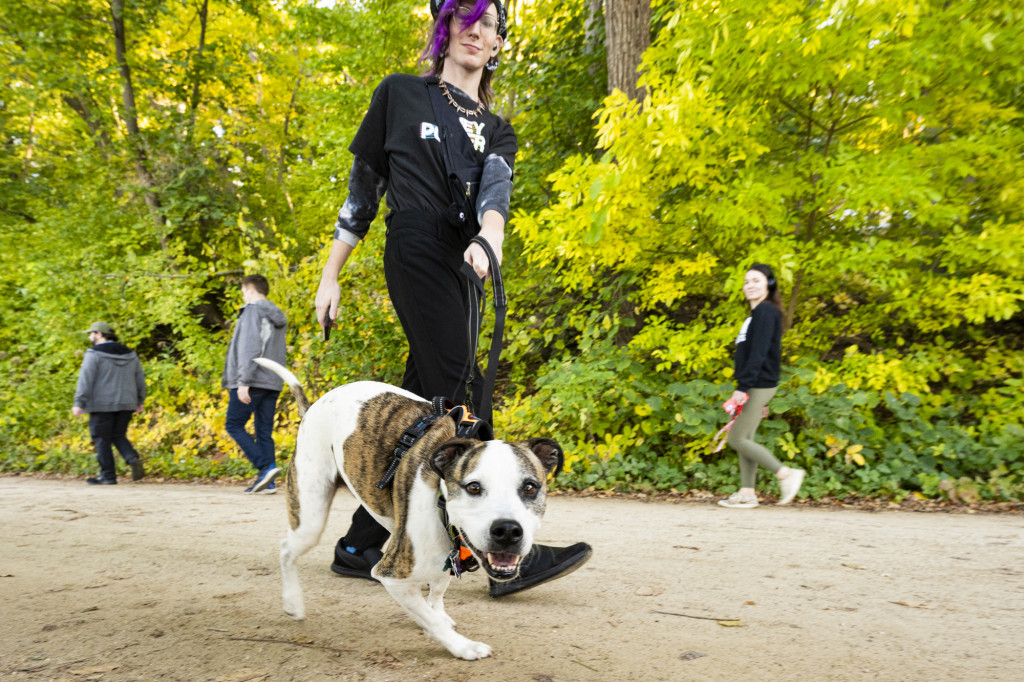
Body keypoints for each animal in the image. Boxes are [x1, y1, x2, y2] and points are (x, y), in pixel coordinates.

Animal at [252, 358, 565, 655]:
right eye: (474, 487)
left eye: (530, 488)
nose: (508, 531)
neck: (441, 499)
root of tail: (314, 405)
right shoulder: (391, 575)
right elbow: (431, 618)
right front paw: (461, 646)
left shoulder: (446, 556)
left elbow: (437, 592)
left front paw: (438, 614)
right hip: (310, 516)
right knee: (286, 549)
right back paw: (293, 602)